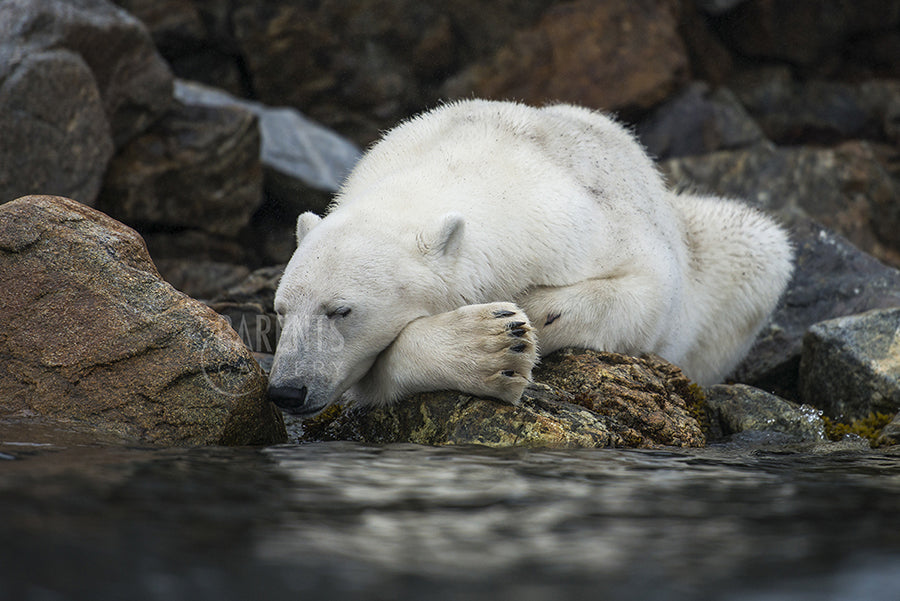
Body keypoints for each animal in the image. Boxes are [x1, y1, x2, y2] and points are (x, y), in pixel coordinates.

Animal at [268, 99, 796, 418]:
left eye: (341, 310)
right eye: (280, 311)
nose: (287, 390)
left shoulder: (594, 226)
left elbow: (649, 295)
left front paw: (535, 315)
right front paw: (490, 345)